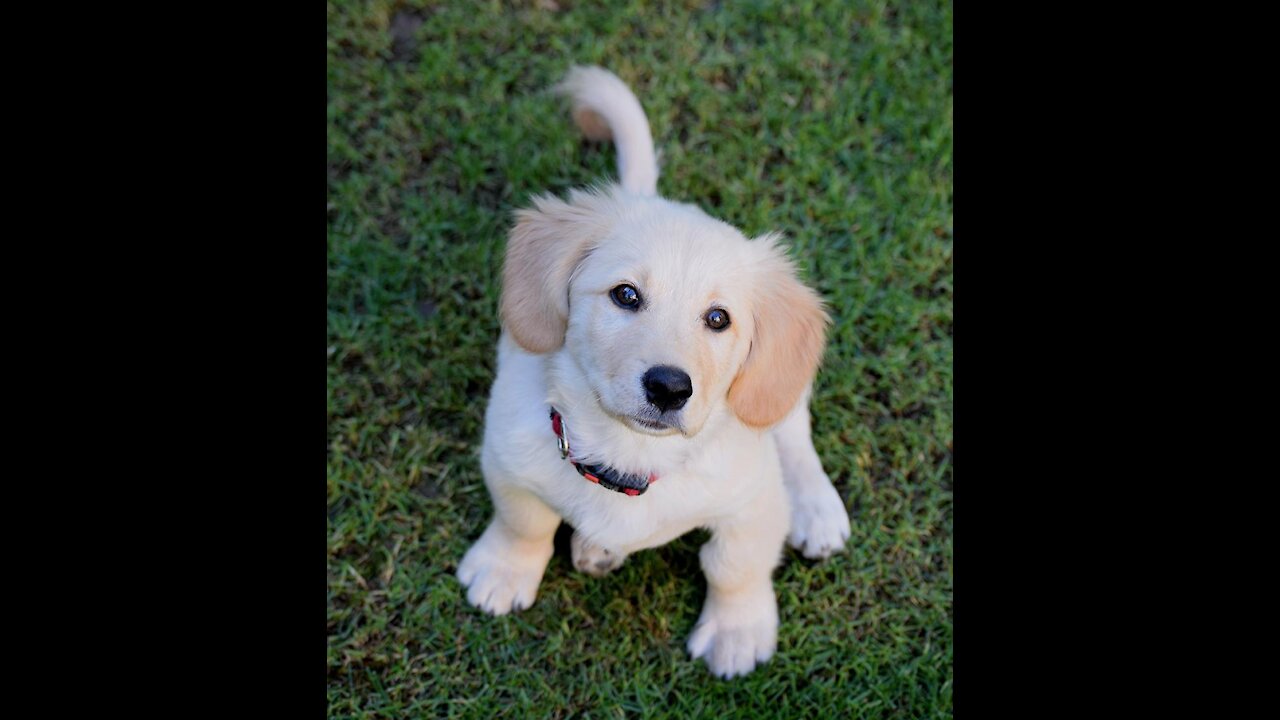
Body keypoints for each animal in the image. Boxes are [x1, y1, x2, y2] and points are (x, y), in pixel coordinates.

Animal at [455, 64, 855, 676]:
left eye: (718, 318)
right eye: (625, 294)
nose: (669, 388)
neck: (631, 456)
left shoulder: (753, 501)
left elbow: (734, 564)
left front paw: (737, 632)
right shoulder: (508, 459)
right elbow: (525, 522)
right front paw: (504, 569)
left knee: (794, 433)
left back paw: (817, 509)